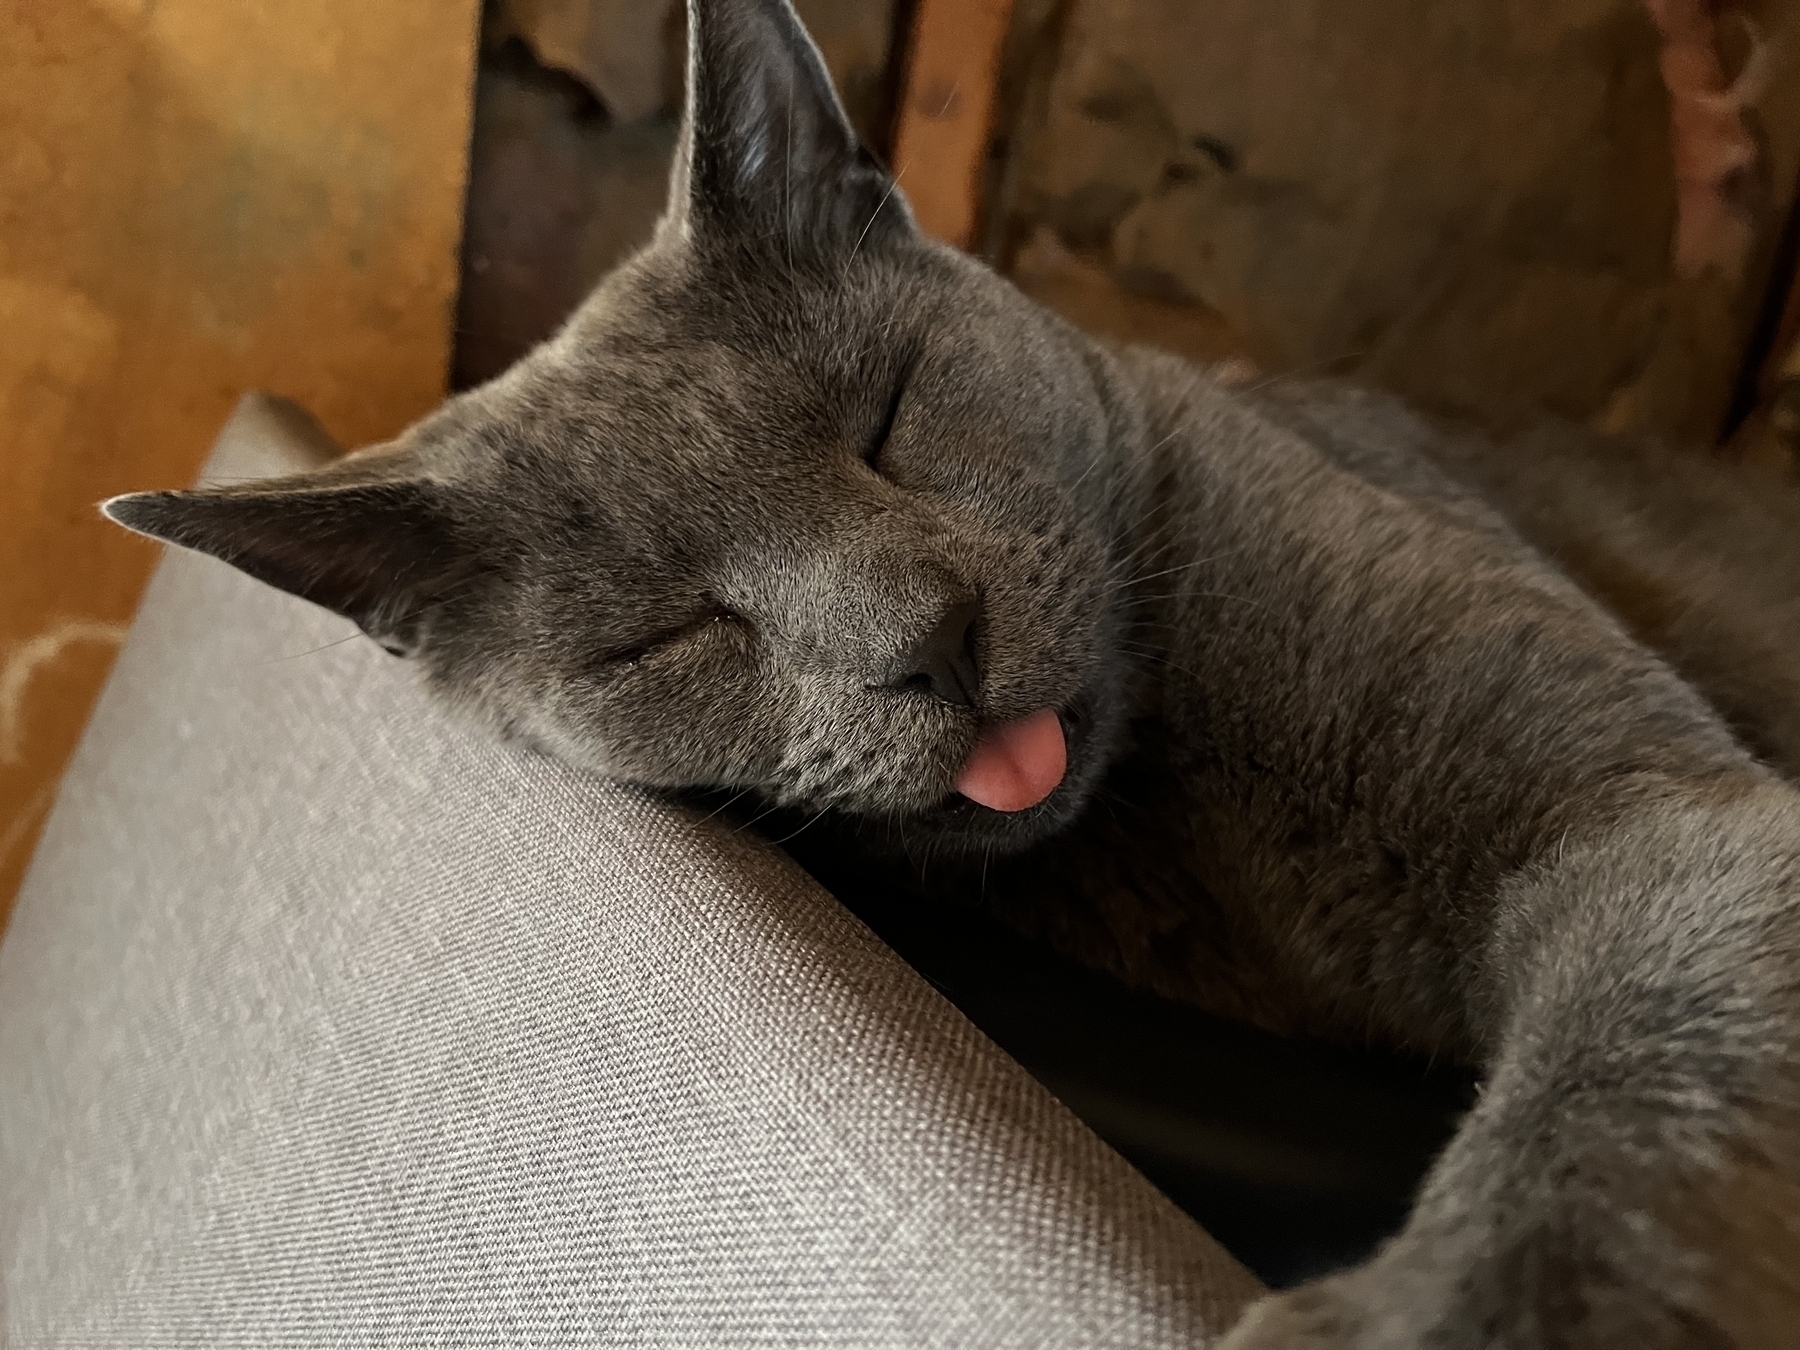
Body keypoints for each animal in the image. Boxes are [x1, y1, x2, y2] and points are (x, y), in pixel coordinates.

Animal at [102, 5, 1800, 1346]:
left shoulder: (1642, 811)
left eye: (891, 414)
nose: (924, 636)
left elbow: (1622, 1085)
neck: (1177, 843)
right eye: (667, 635)